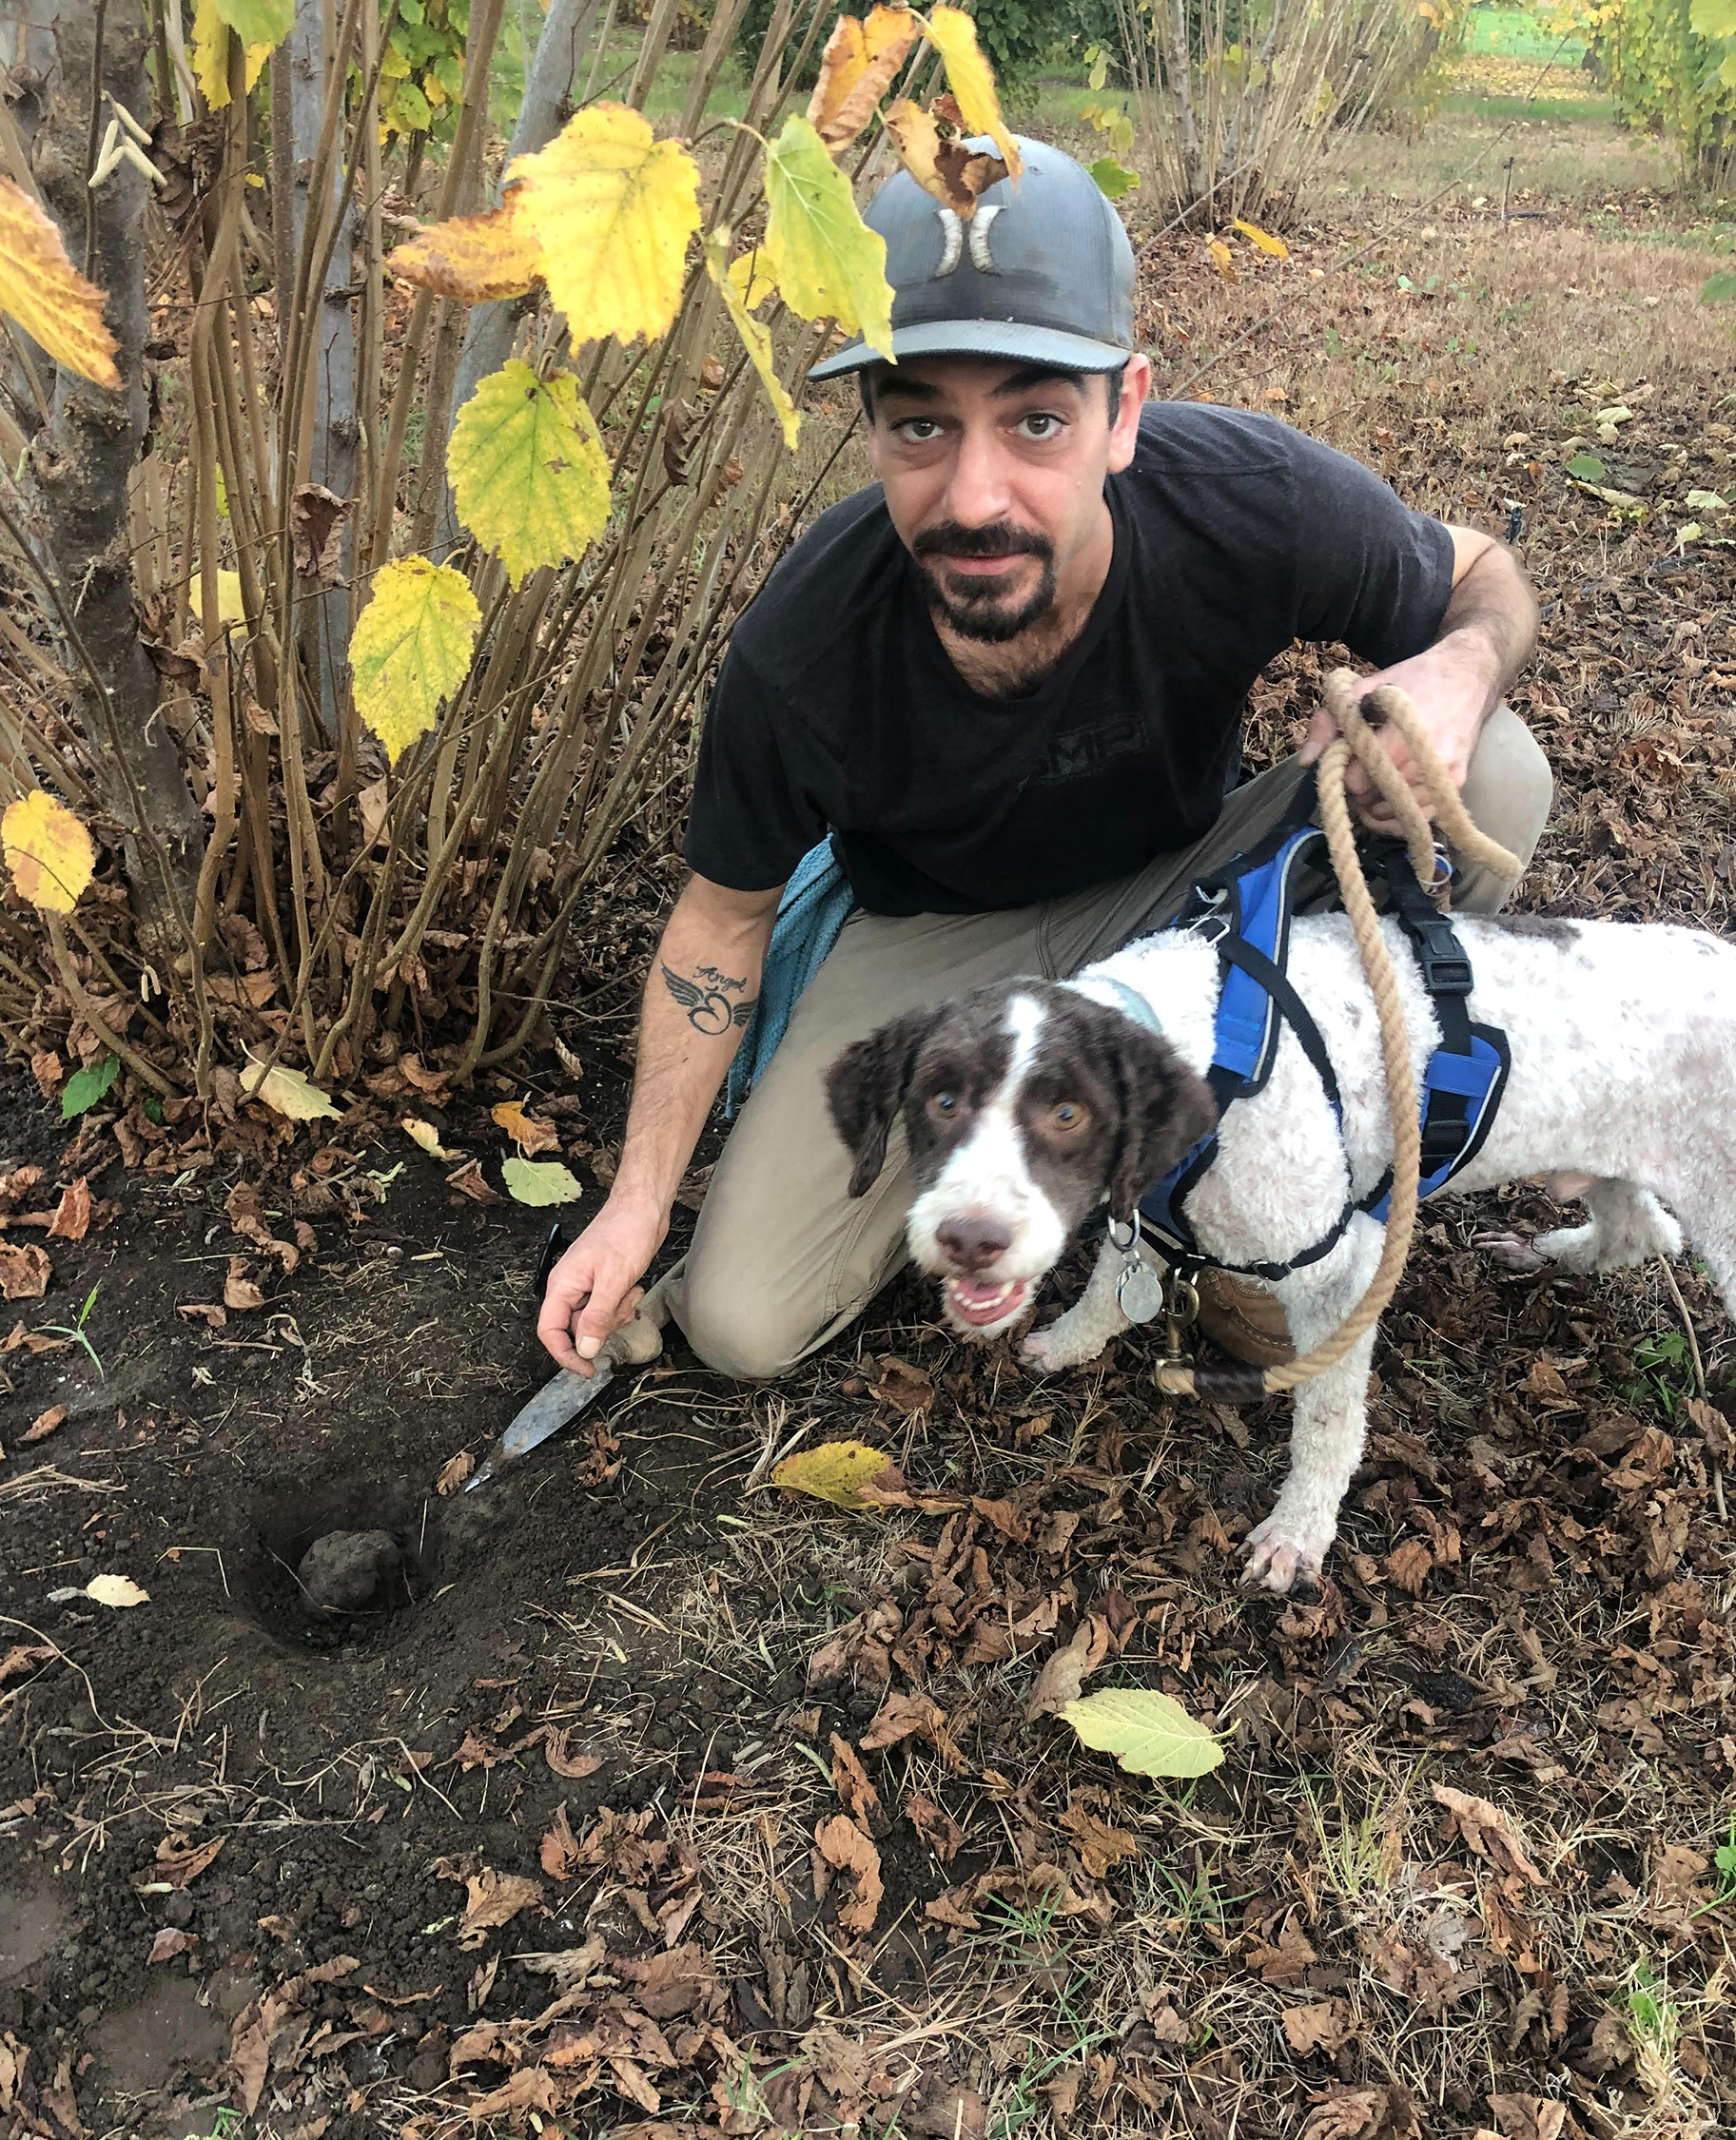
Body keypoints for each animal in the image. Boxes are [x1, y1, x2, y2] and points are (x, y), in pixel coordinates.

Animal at [826, 911, 1736, 1601]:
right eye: (941, 1099)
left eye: (1067, 1114)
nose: (969, 1237)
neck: (1208, 1046)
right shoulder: (1152, 1208)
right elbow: (1117, 1282)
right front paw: (1072, 1341)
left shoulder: (1337, 1272)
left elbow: (1327, 1424)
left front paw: (1299, 1534)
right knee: (1642, 1231)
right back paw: (1539, 1251)